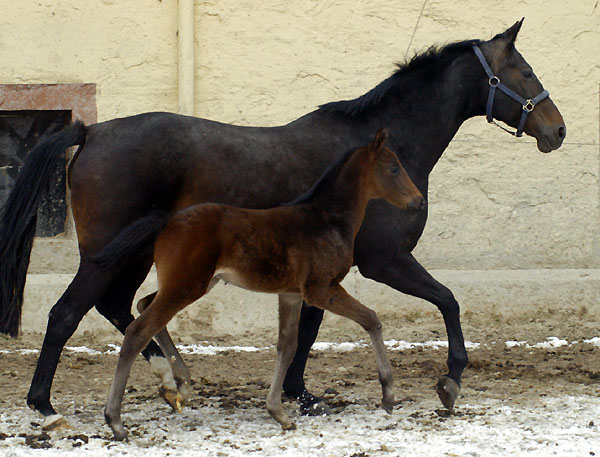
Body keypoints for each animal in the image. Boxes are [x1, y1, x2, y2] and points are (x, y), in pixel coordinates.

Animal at [99, 128, 422, 438]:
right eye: (394, 168)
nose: (418, 201)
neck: (327, 220)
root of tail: (166, 221)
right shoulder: (321, 289)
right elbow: (371, 319)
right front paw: (388, 395)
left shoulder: (291, 294)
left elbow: (287, 345)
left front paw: (279, 413)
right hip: (187, 285)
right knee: (137, 331)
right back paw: (116, 421)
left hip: (194, 282)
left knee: (144, 305)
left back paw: (181, 384)